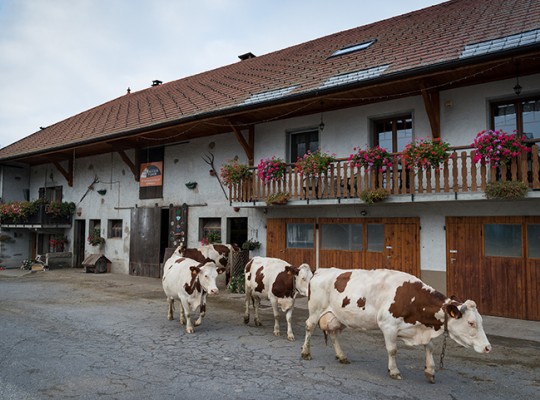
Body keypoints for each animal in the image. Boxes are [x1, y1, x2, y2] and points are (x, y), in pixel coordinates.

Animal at [302, 268, 492, 382]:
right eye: (471, 323)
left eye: (481, 321)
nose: (488, 348)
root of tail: (322, 270)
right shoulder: (388, 326)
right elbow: (392, 350)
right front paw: (394, 371)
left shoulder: (420, 328)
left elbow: (429, 347)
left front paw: (430, 371)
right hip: (316, 310)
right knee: (309, 327)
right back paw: (305, 353)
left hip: (338, 317)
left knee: (333, 333)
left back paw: (341, 356)